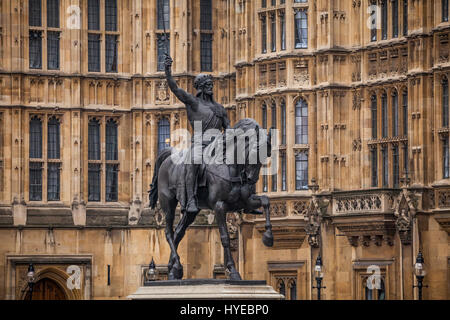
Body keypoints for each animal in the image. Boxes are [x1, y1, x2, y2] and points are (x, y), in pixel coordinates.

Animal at [149, 117, 274, 280]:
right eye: (254, 152)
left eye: (267, 154)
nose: (251, 179)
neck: (231, 167)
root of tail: (169, 156)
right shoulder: (219, 206)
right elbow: (225, 237)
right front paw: (233, 271)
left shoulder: (245, 202)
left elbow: (266, 201)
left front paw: (268, 236)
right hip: (168, 202)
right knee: (169, 232)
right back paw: (177, 266)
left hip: (191, 211)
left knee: (179, 232)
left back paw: (173, 269)